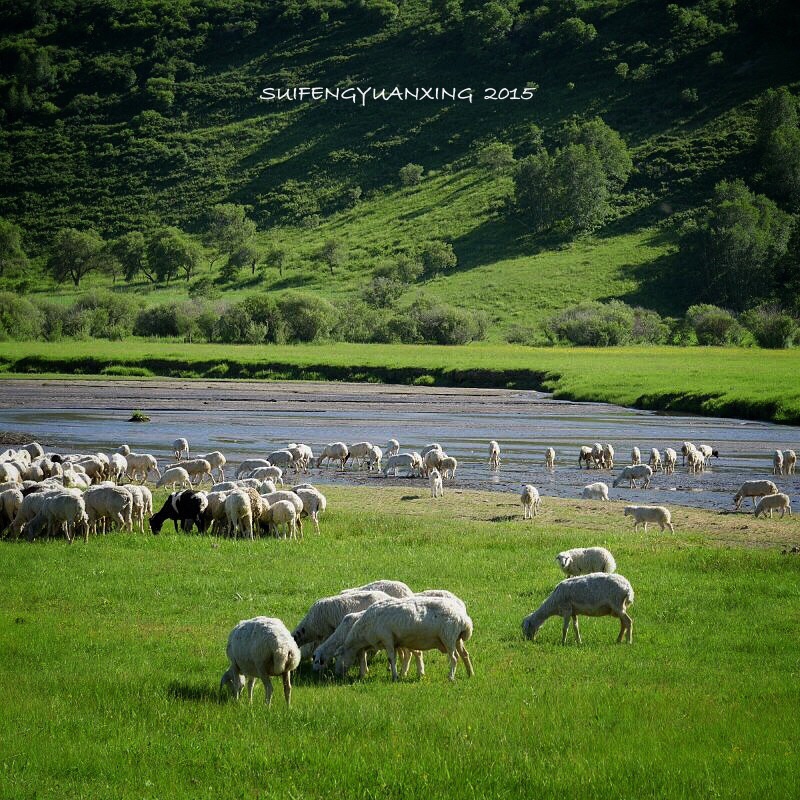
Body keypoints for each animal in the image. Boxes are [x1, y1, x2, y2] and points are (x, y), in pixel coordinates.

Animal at [332, 592, 472, 680]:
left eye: (338, 656)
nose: (336, 674)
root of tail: (465, 620)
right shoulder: (395, 642)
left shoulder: (387, 638)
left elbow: (391, 659)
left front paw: (395, 676)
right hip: (457, 639)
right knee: (464, 654)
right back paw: (470, 673)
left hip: (448, 637)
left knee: (454, 658)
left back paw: (451, 677)